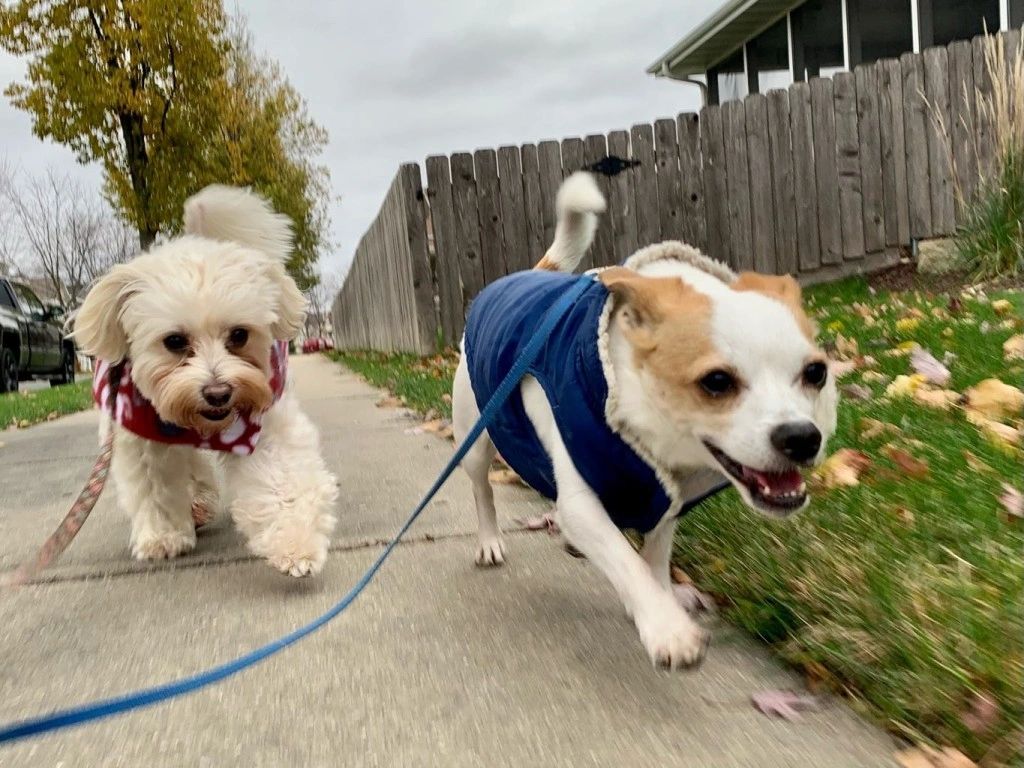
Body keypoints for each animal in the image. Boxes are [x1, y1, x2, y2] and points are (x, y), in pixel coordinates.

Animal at [76, 185, 339, 577]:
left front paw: (295, 541)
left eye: (240, 334)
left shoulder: (263, 424)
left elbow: (282, 477)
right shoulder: (141, 439)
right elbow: (155, 487)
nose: (218, 393)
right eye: (174, 341)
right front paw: (164, 536)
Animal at [452, 174, 835, 667]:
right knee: (482, 489)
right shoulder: (583, 501)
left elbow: (652, 560)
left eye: (816, 373)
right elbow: (625, 559)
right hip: (476, 437)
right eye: (716, 382)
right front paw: (667, 627)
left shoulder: (666, 502)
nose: (802, 437)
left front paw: (660, 602)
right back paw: (489, 540)